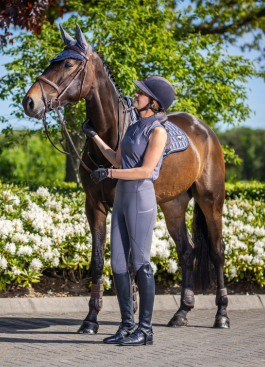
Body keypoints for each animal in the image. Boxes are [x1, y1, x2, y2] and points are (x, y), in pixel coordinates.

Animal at [22, 25, 228, 336]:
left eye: (68, 64)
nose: (30, 102)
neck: (112, 139)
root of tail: (203, 130)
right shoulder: (94, 206)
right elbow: (98, 260)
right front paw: (91, 319)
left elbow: (130, 262)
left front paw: (129, 319)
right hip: (173, 205)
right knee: (186, 251)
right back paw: (181, 312)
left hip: (210, 200)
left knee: (217, 252)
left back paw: (221, 314)